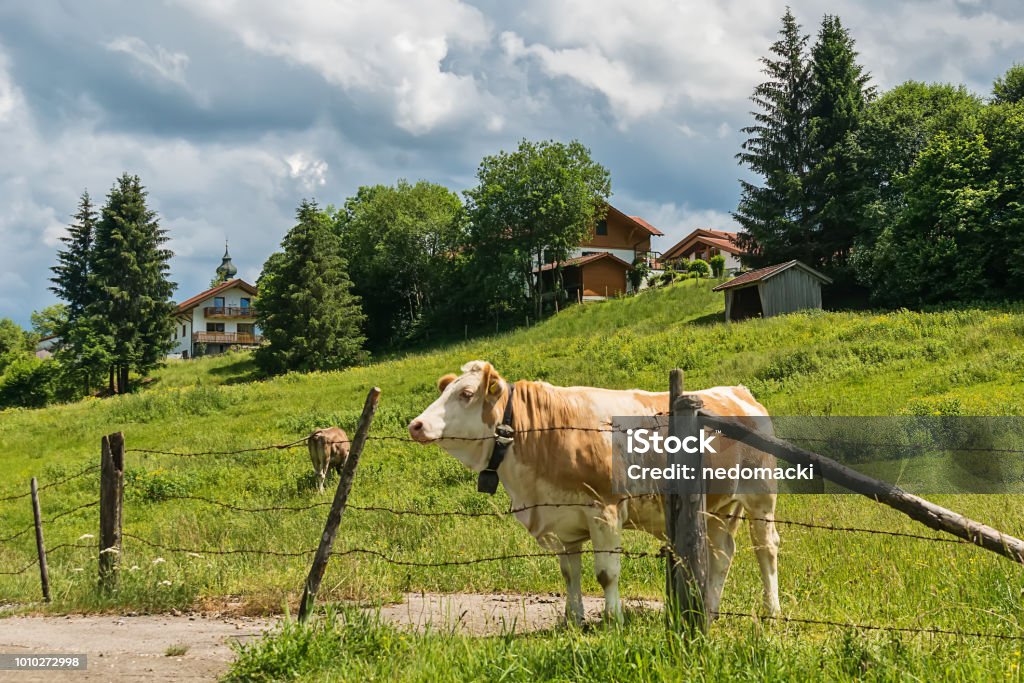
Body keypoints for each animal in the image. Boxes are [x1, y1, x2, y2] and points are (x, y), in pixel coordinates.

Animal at [409, 362, 782, 626]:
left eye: (466, 394)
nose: (416, 425)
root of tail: (738, 392)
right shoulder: (562, 517)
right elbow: (569, 573)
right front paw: (572, 619)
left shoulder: (605, 510)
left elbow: (606, 573)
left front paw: (613, 619)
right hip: (718, 508)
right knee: (722, 554)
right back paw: (711, 610)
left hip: (760, 496)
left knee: (766, 549)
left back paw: (771, 610)